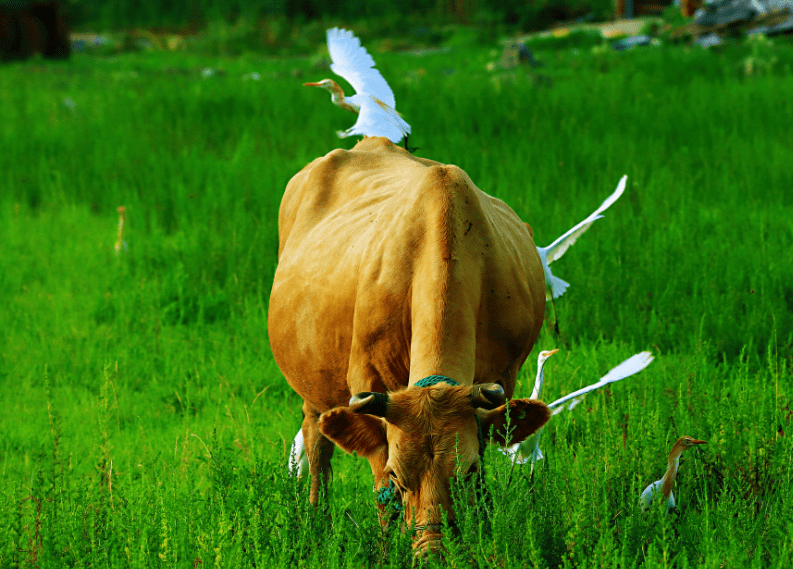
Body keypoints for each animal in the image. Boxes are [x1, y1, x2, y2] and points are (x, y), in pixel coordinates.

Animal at [270, 135, 548, 552]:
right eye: (399, 477)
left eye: (467, 472)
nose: (432, 551)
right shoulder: (368, 383)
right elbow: (383, 496)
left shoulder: (503, 378)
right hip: (312, 389)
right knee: (317, 445)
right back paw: (317, 519)